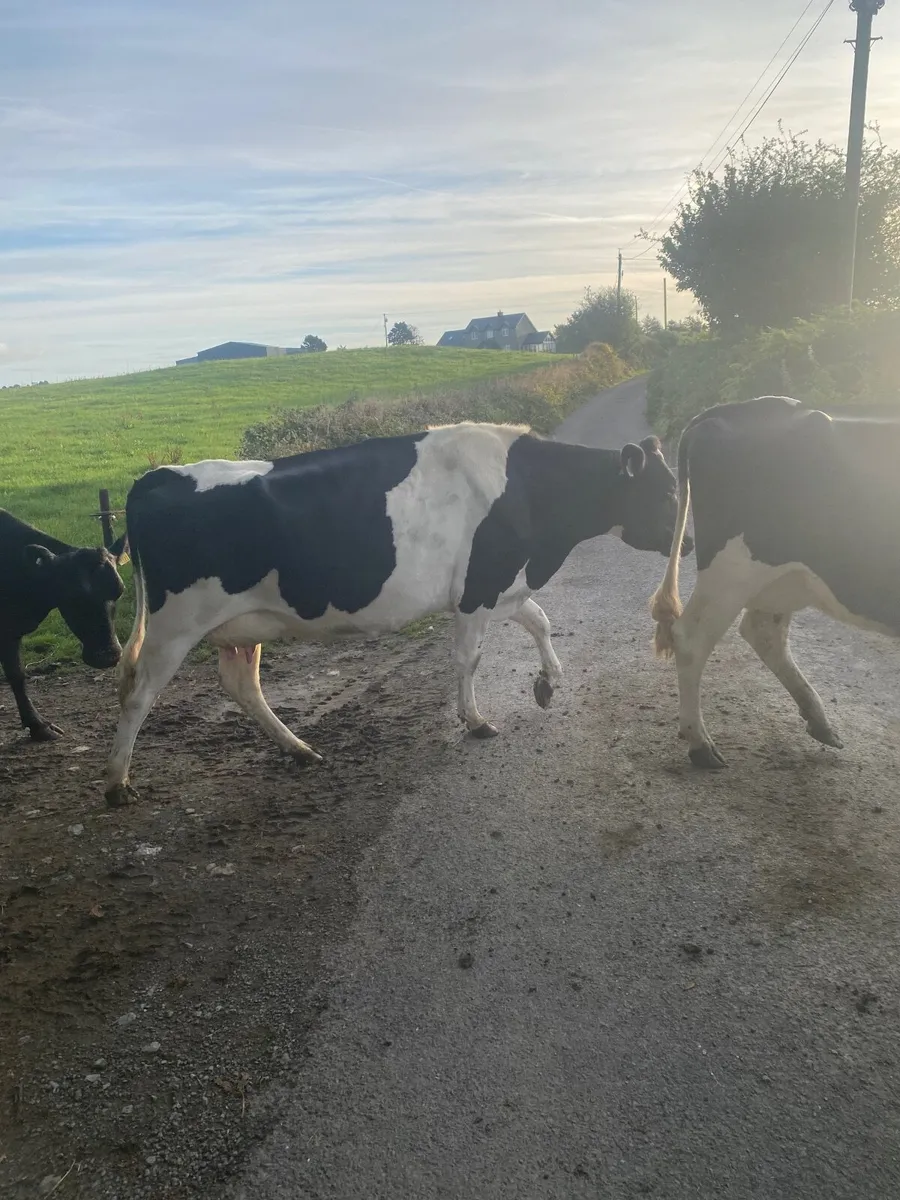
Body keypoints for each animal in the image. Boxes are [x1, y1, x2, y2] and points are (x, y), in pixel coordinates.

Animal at [0, 509, 124, 741]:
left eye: (119, 591)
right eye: (73, 596)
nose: (108, 656)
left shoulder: (10, 631)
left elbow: (17, 674)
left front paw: (38, 727)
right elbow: (15, 674)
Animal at [104, 422, 691, 805]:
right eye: (664, 492)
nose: (687, 544)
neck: (530, 492)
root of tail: (155, 476)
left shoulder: (503, 584)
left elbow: (541, 620)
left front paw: (547, 683)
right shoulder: (477, 589)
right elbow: (470, 659)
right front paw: (475, 720)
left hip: (238, 626)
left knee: (242, 686)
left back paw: (299, 749)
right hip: (175, 624)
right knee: (138, 694)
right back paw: (117, 784)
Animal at [651, 394, 900, 768]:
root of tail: (742, 407)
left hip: (785, 577)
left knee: (763, 631)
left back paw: (820, 722)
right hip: (733, 568)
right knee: (692, 637)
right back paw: (701, 745)